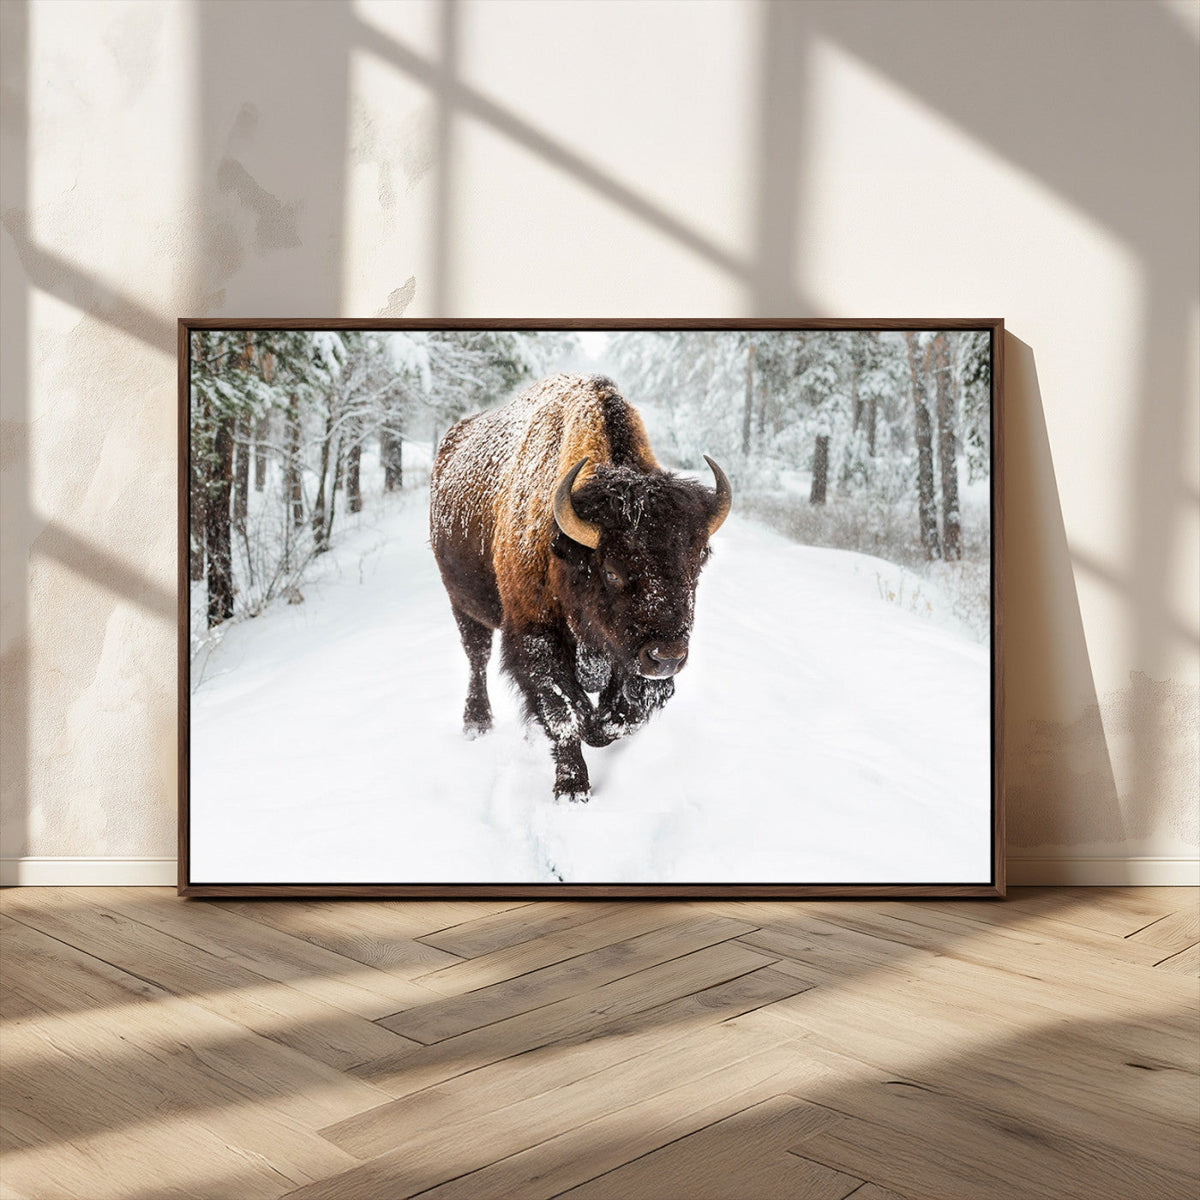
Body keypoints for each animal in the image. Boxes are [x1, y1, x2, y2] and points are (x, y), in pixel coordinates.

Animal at [430, 373, 731, 801]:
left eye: (698, 560)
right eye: (612, 571)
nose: (667, 657)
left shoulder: (627, 656)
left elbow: (624, 714)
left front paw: (599, 727)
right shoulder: (535, 636)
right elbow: (564, 712)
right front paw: (572, 788)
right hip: (462, 603)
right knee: (477, 655)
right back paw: (477, 723)